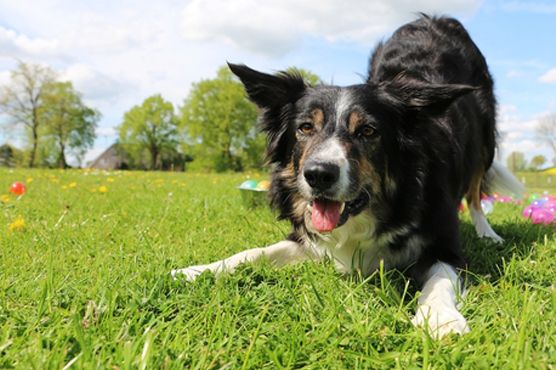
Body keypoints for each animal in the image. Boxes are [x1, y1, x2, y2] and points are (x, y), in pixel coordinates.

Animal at [172, 14, 524, 338]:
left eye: (368, 131)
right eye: (305, 127)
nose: (318, 175)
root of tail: (439, 18)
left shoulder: (445, 243)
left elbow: (440, 278)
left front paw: (441, 318)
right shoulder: (306, 239)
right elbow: (253, 252)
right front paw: (198, 270)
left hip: (485, 142)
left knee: (476, 192)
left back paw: (487, 232)